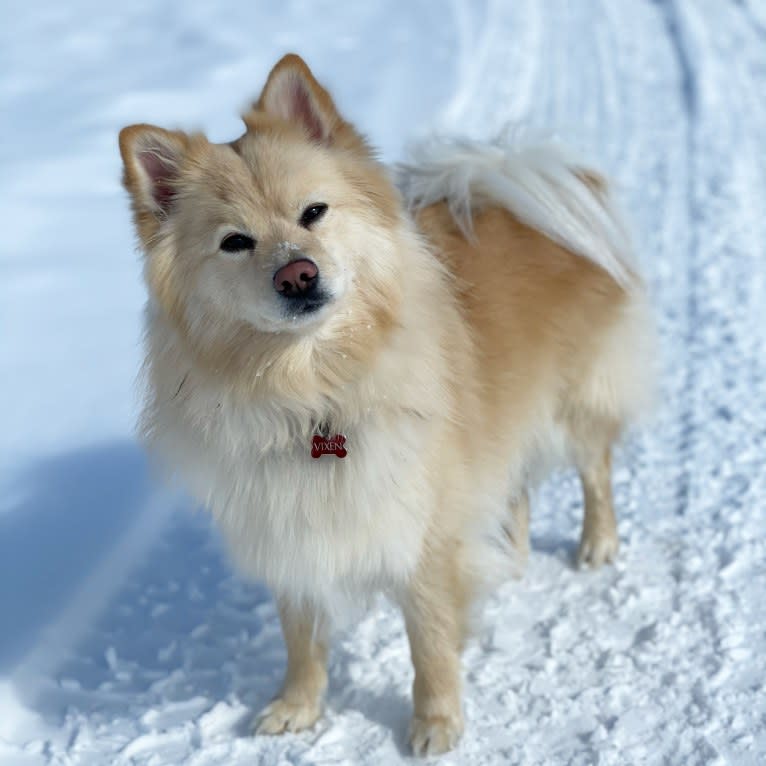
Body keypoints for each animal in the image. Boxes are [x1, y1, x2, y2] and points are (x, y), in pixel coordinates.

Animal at [118, 52, 656, 756]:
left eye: (314, 212)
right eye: (235, 242)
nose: (297, 274)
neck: (312, 389)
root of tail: (510, 174)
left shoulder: (422, 527)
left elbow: (428, 641)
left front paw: (436, 722)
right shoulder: (287, 523)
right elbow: (301, 637)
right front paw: (299, 707)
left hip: (572, 405)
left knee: (596, 469)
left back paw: (597, 544)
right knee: (515, 493)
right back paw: (510, 561)